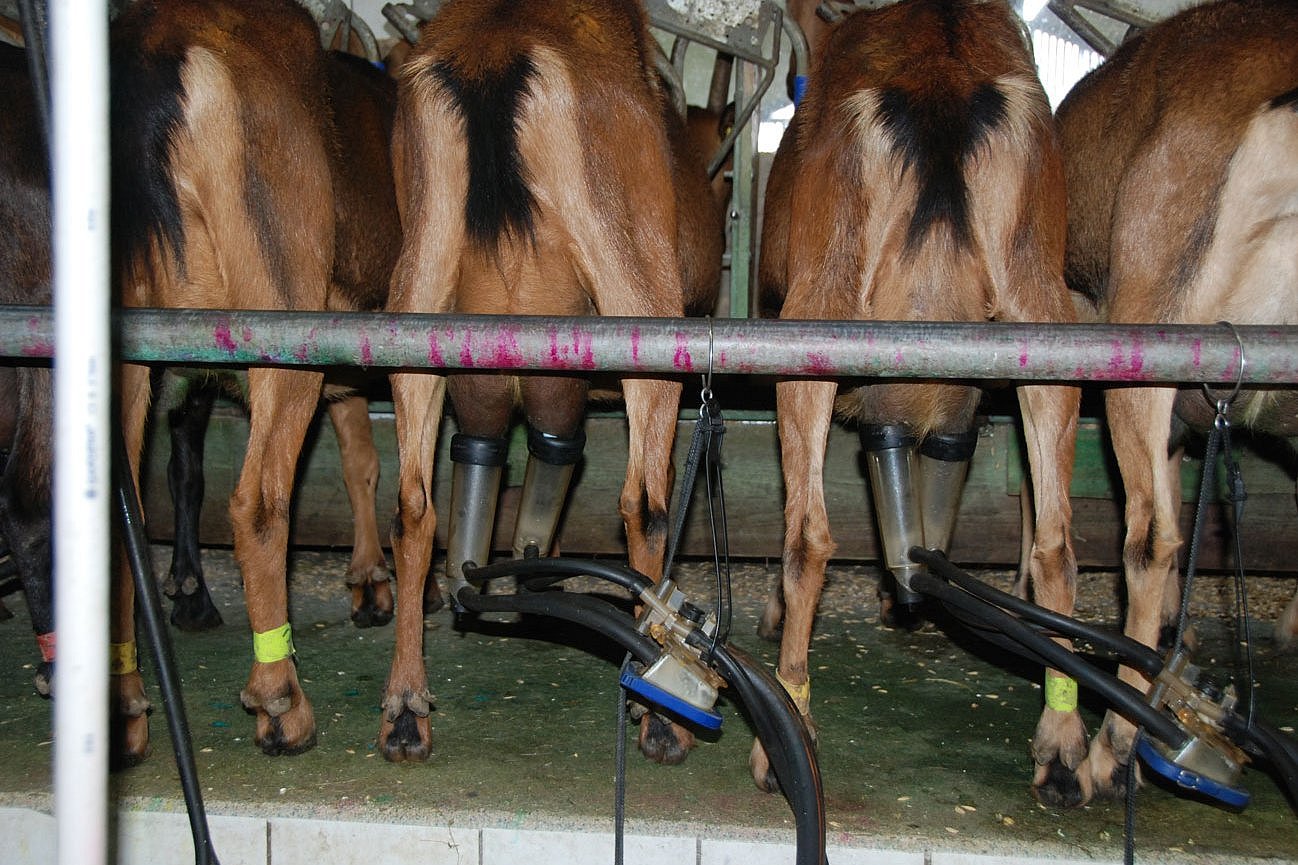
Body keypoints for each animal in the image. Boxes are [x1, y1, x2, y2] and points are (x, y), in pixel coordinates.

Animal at [111, 0, 399, 753]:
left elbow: (360, 457)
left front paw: (369, 580)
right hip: (278, 309)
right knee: (259, 502)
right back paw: (280, 699)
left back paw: (126, 704)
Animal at [379, 0, 721, 758]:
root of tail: (495, 54)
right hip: (640, 298)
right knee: (645, 504)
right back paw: (660, 714)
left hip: (416, 297)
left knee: (415, 505)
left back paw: (406, 707)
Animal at [758, 0, 1079, 800]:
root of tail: (941, 85)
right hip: (1045, 315)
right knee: (1056, 541)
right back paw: (1064, 749)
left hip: (814, 308)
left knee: (808, 533)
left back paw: (785, 734)